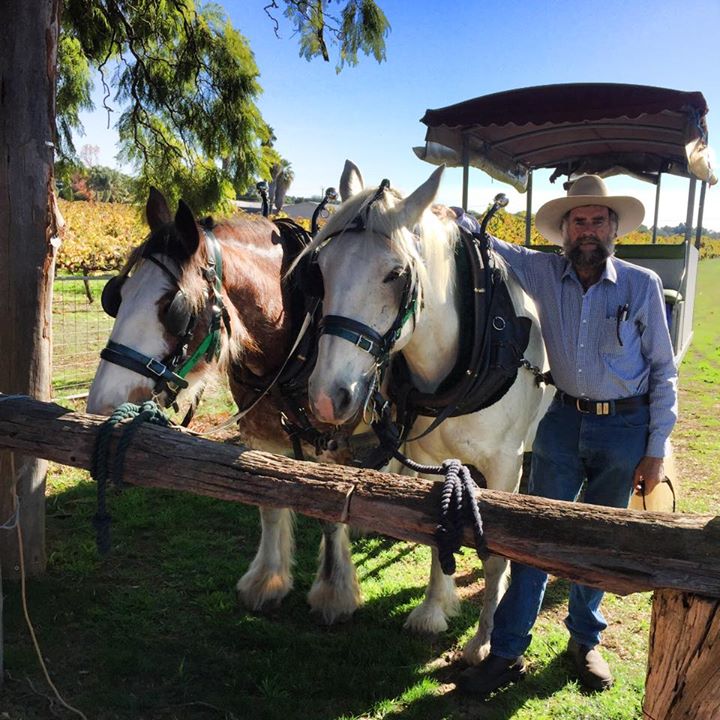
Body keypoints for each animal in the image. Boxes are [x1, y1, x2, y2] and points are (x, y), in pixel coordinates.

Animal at [86, 188, 364, 624]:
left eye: (174, 308)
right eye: (115, 296)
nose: (102, 405)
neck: (299, 335)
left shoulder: (332, 445)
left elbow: (330, 512)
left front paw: (334, 594)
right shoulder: (261, 437)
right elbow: (269, 500)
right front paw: (266, 582)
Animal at [302, 160, 552, 664]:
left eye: (396, 274)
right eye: (321, 268)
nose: (325, 397)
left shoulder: (506, 464)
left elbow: (496, 552)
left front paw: (483, 639)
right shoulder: (433, 456)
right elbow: (438, 527)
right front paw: (434, 609)